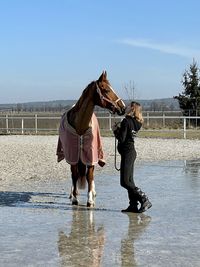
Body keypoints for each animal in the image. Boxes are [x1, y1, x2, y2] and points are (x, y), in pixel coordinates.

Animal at [56, 72, 125, 208]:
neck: (80, 126)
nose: (123, 107)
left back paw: (93, 192)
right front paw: (75, 199)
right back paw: (73, 192)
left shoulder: (91, 155)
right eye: (107, 90)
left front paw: (90, 200)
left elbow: (89, 176)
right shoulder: (73, 156)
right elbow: (74, 175)